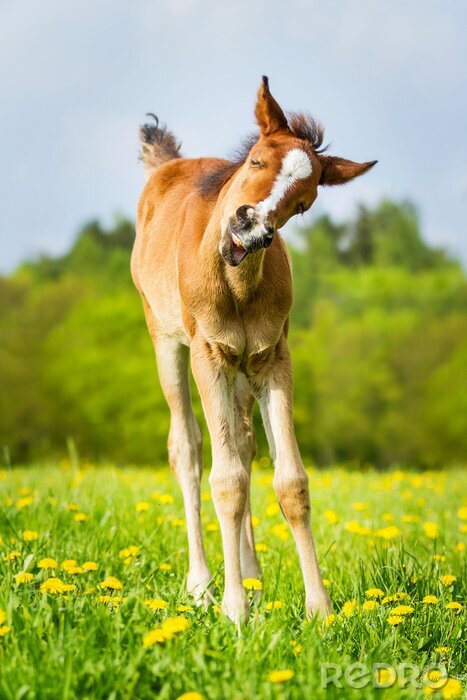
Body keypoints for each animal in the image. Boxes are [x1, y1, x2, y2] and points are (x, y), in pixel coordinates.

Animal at [133, 78, 376, 624]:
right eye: (256, 161)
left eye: (304, 202)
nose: (249, 228)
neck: (239, 286)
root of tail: (166, 166)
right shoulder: (209, 354)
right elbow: (226, 480)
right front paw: (233, 609)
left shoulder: (271, 357)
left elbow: (290, 482)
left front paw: (319, 609)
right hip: (166, 342)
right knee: (188, 448)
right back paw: (203, 585)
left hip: (242, 374)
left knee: (243, 445)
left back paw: (253, 578)